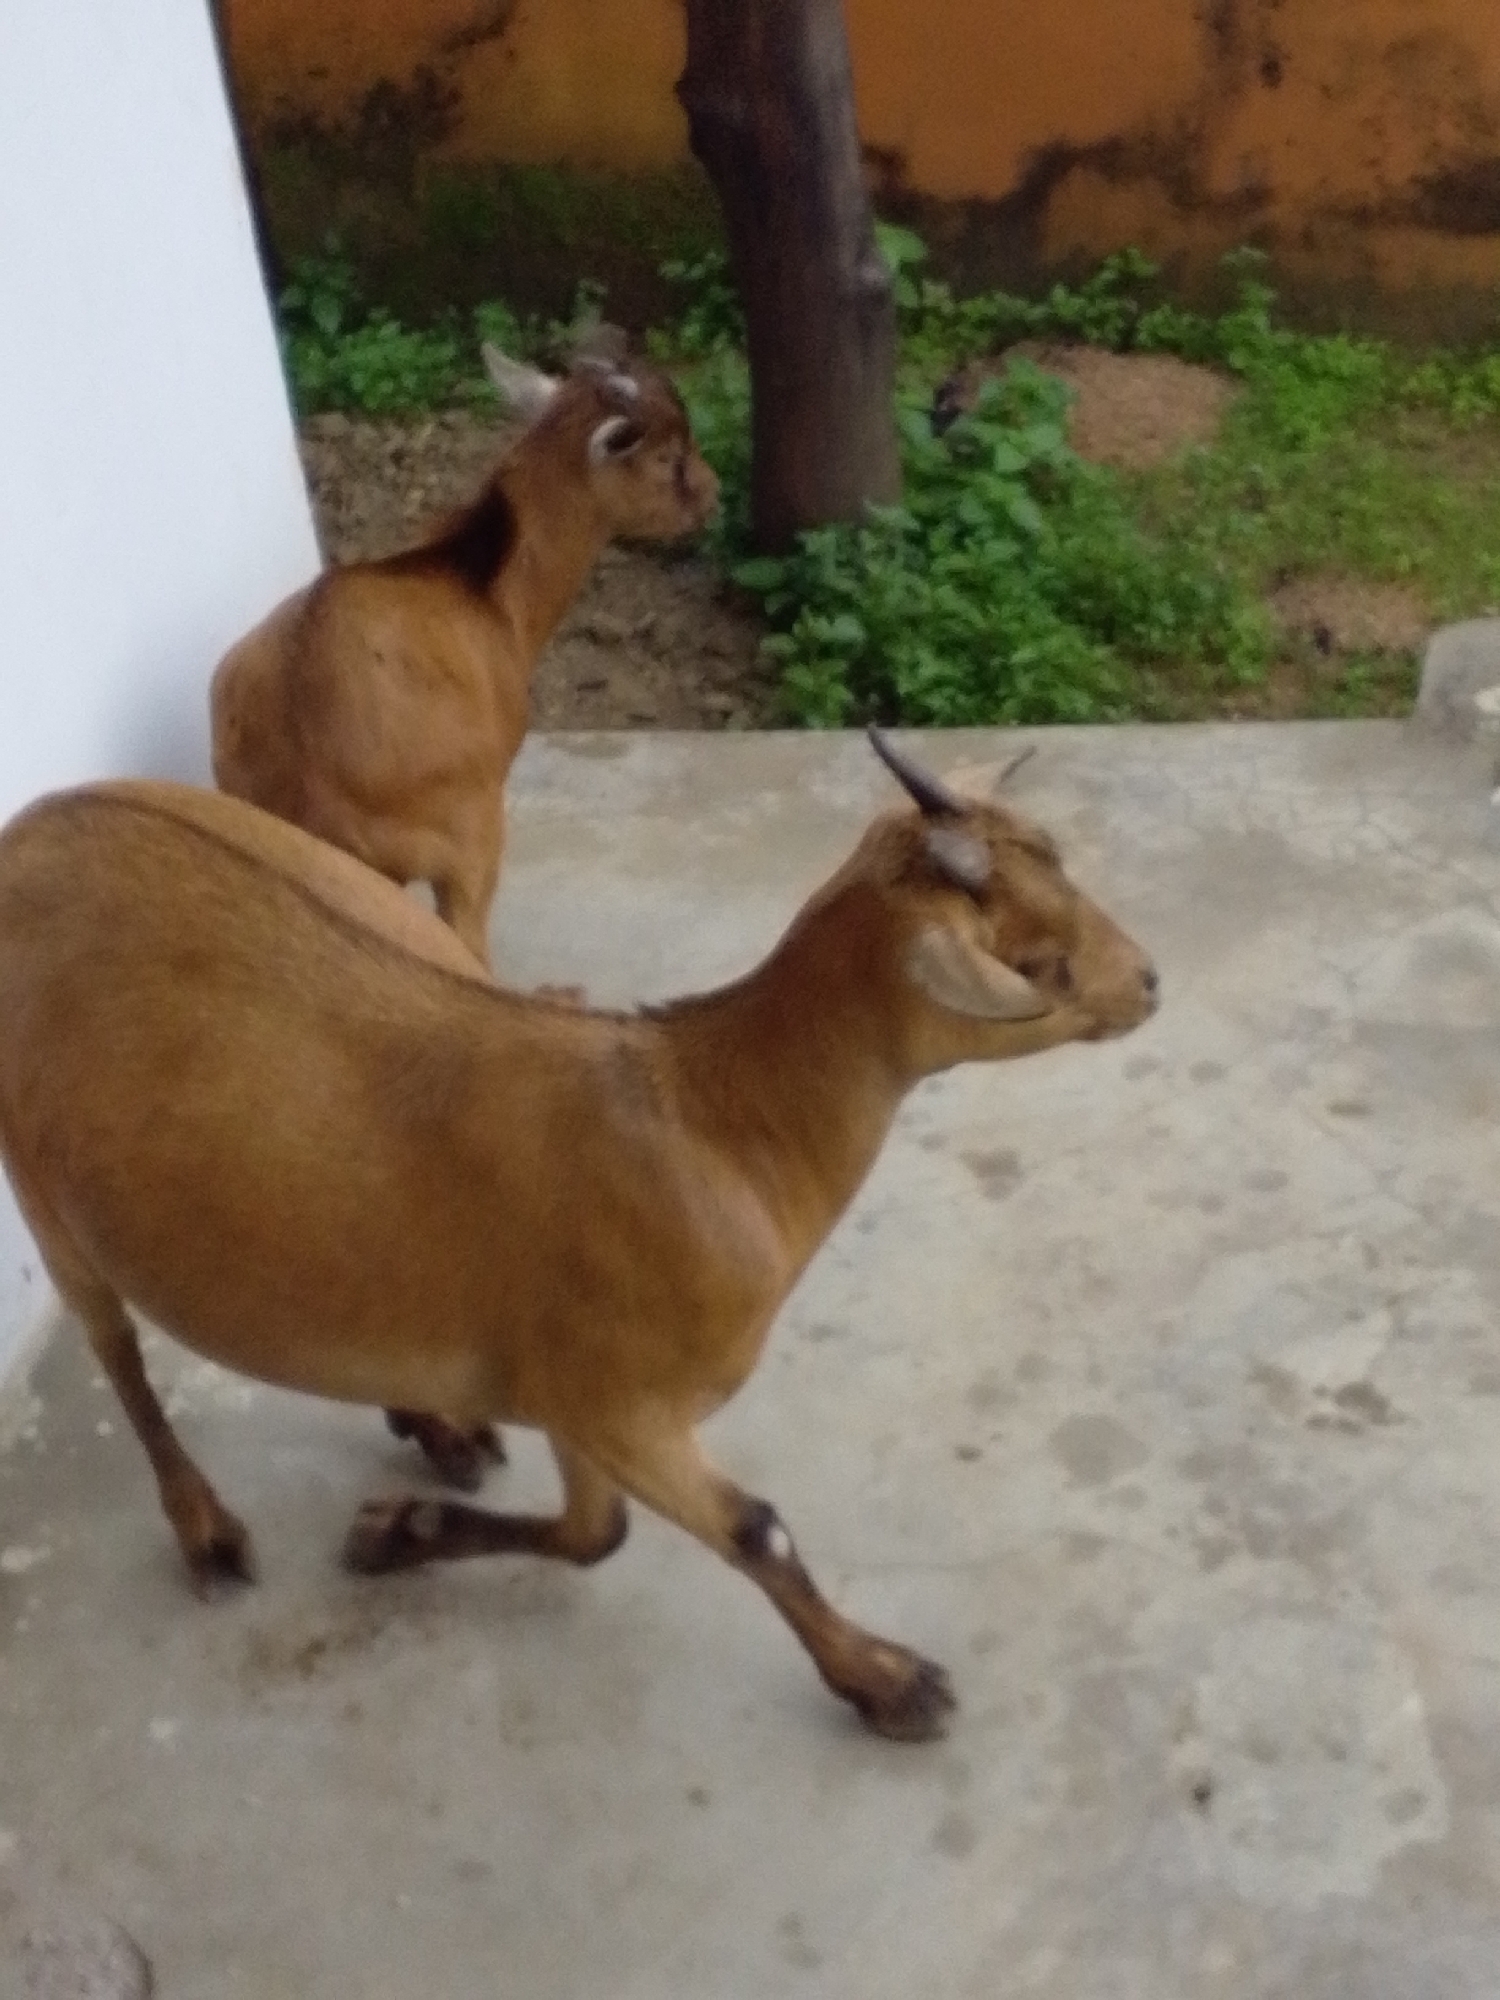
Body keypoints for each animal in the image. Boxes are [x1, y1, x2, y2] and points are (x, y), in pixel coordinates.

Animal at [0, 731, 1157, 1740]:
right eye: (1040, 962)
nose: (1148, 981)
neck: (715, 1126)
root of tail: (34, 825)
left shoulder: (567, 1390)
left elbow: (594, 1534)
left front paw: (398, 1530)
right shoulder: (620, 1400)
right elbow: (754, 1527)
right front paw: (889, 1681)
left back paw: (435, 1428)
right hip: (42, 1187)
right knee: (116, 1348)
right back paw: (207, 1531)